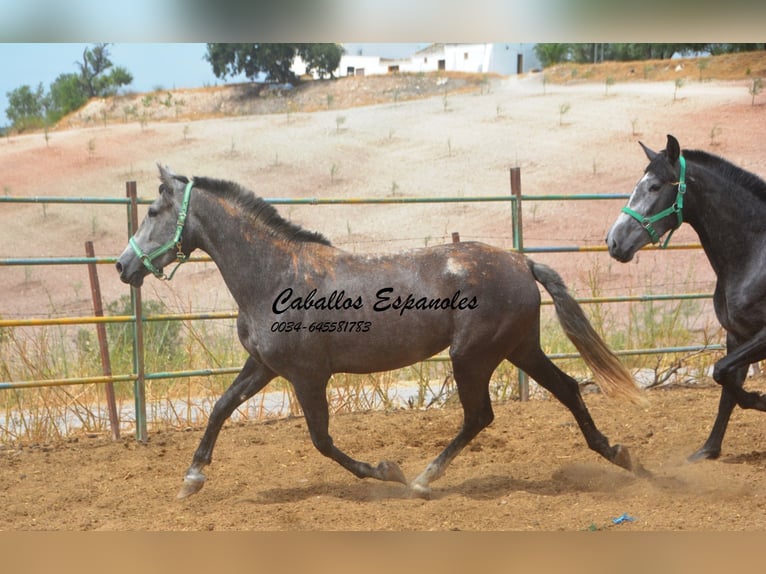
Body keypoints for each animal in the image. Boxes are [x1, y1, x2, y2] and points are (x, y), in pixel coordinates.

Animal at [117, 164, 643, 499]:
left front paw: (388, 471)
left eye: (152, 213)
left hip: (473, 356)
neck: (274, 274)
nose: (123, 266)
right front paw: (191, 479)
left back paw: (422, 479)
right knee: (567, 389)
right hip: (519, 348)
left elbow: (322, 441)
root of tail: (521, 262)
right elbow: (220, 409)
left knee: (480, 415)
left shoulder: (307, 377)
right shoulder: (263, 366)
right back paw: (622, 456)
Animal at [606, 134, 766, 461]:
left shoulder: (762, 336)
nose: (614, 241)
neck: (755, 255)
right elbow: (727, 384)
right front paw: (708, 450)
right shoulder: (738, 335)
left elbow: (722, 372)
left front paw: (762, 400)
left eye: (655, 186)